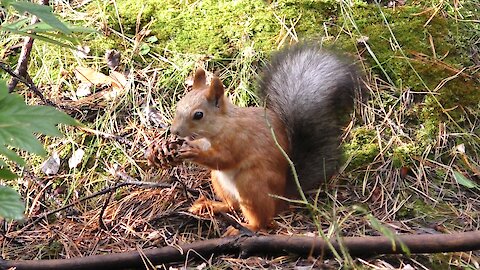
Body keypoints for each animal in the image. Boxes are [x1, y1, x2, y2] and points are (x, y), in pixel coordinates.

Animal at [170, 44, 360, 234]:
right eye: (179, 104)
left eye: (198, 115)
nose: (174, 131)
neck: (218, 127)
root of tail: (281, 198)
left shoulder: (238, 140)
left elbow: (223, 159)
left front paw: (192, 153)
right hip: (218, 181)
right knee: (232, 206)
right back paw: (210, 206)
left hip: (250, 184)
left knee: (261, 221)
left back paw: (244, 228)